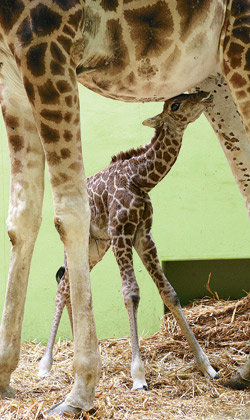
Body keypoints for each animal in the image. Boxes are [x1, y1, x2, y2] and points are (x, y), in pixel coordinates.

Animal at [38, 92, 217, 390]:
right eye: (175, 105)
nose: (205, 95)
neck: (140, 180)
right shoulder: (121, 232)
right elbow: (131, 293)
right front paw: (138, 376)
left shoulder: (143, 235)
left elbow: (169, 292)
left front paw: (207, 367)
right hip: (79, 244)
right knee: (62, 288)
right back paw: (45, 366)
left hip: (96, 248)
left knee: (70, 286)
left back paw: (83, 355)